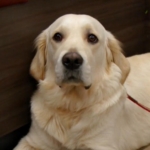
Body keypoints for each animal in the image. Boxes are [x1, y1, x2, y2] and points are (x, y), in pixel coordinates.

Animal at [13, 14, 150, 150]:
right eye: (57, 36)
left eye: (92, 38)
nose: (72, 60)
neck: (72, 106)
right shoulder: (31, 142)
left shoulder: (103, 145)